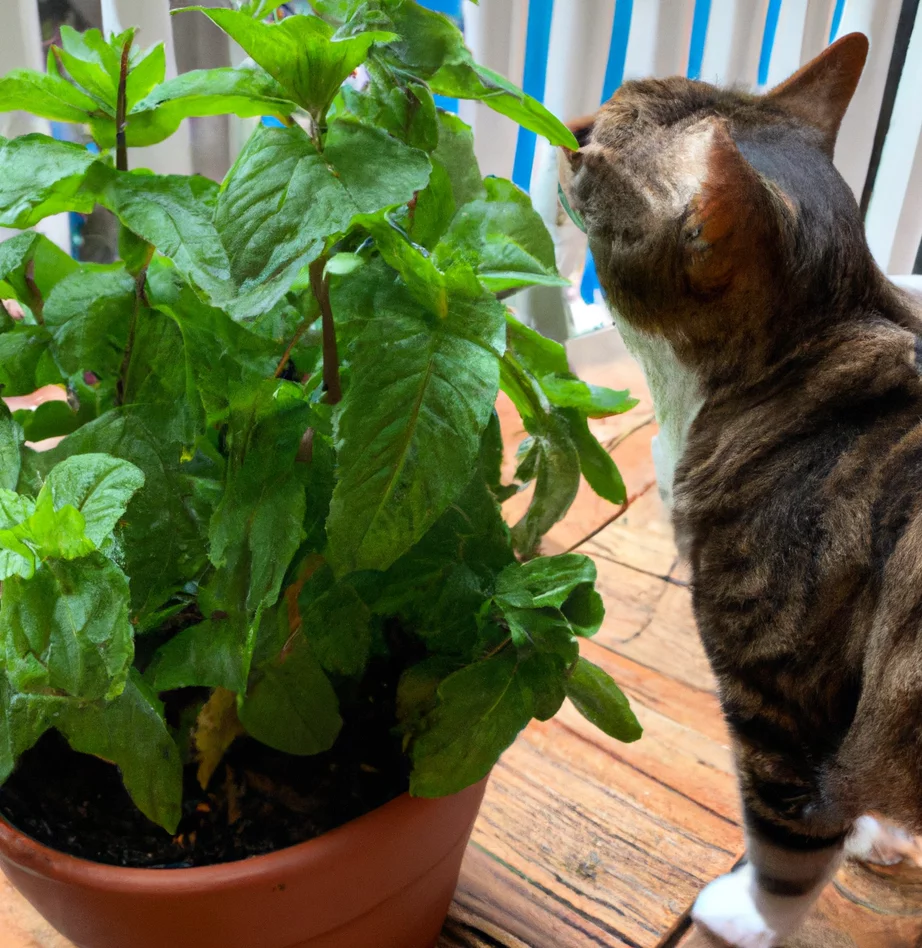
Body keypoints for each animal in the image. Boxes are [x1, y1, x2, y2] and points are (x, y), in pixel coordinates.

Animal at [556, 33, 920, 944]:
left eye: (591, 148)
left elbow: (789, 847)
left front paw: (744, 916)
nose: (568, 127)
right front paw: (884, 831)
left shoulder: (782, 704)